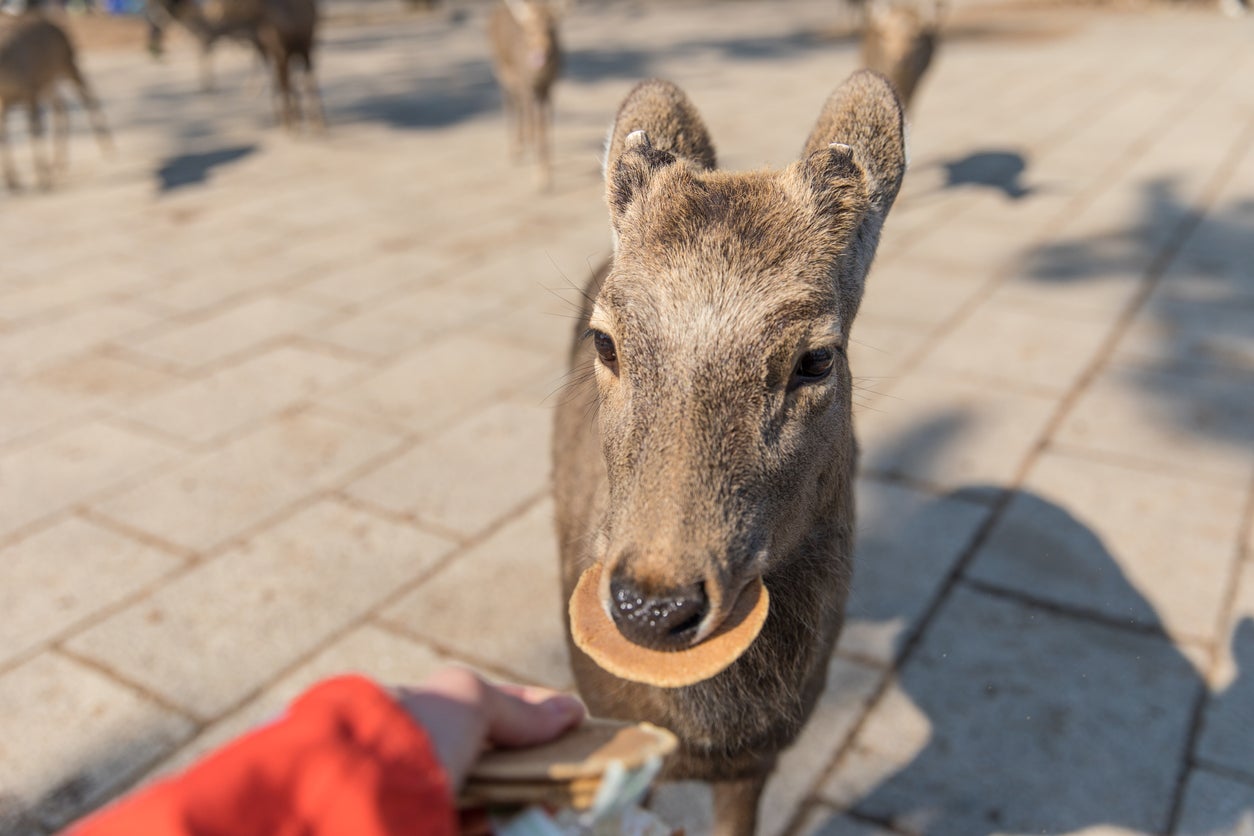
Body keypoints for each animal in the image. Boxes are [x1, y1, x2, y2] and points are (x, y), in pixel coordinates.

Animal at [0, 9, 110, 191]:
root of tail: (57, 26)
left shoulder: (30, 91)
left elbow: (35, 132)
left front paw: (42, 178)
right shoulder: (5, 102)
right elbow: (4, 135)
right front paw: (12, 181)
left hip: (67, 61)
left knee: (87, 93)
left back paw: (107, 148)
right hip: (49, 79)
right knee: (62, 106)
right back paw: (58, 164)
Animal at [486, 0, 561, 189]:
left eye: (552, 28)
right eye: (529, 30)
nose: (541, 52)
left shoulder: (549, 86)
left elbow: (545, 124)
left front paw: (547, 172)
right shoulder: (525, 84)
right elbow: (535, 125)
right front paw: (540, 177)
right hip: (501, 71)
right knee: (510, 104)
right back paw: (515, 149)